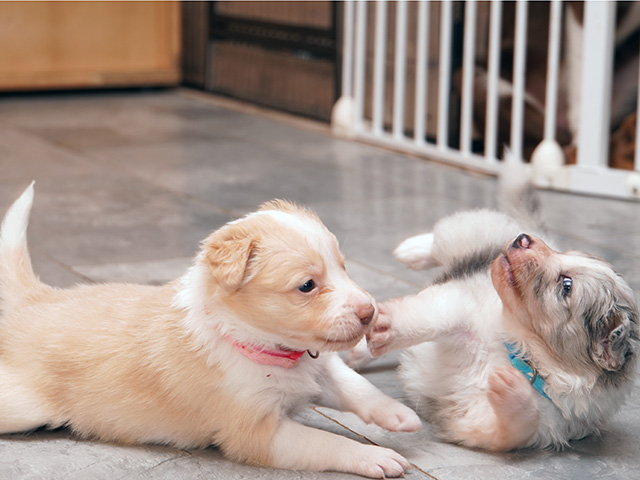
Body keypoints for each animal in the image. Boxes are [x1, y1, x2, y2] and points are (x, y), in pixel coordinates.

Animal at [0, 183, 421, 478]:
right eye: (307, 285)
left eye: (344, 267)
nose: (370, 312)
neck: (261, 345)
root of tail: (36, 299)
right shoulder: (257, 433)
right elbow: (326, 442)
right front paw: (375, 456)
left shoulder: (318, 367)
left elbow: (355, 385)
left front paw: (399, 414)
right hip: (23, 406)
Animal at [365, 158, 639, 451]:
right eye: (565, 256)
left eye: (567, 285)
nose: (522, 239)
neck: (518, 348)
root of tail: (537, 231)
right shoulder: (461, 304)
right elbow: (430, 317)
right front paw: (388, 327)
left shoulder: (489, 421)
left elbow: (519, 423)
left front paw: (510, 386)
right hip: (478, 234)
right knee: (450, 234)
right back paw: (412, 250)